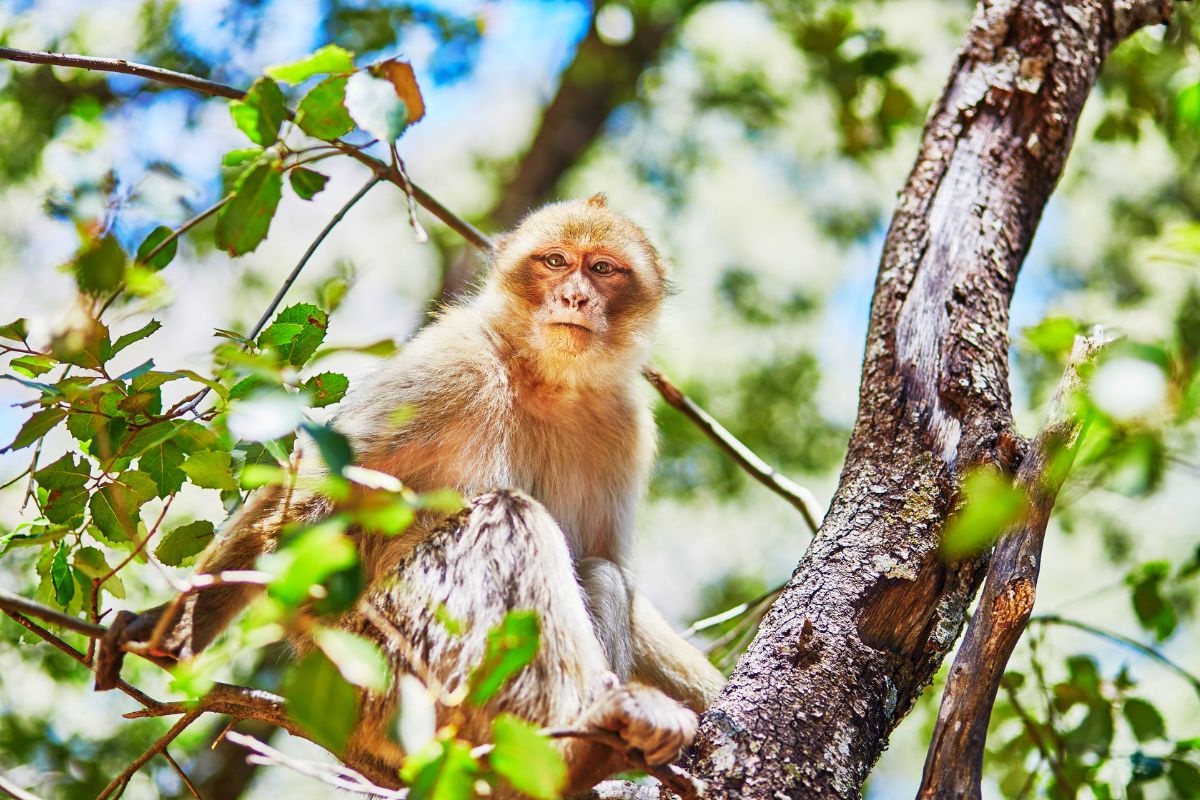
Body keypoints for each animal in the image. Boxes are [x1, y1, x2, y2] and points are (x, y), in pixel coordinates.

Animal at [100, 194, 720, 796]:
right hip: (388, 672)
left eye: (602, 269)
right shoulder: (450, 365)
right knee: (508, 515)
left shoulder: (623, 424)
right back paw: (574, 748)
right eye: (554, 261)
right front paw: (173, 629)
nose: (574, 295)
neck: (545, 378)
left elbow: (609, 563)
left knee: (600, 572)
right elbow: (306, 502)